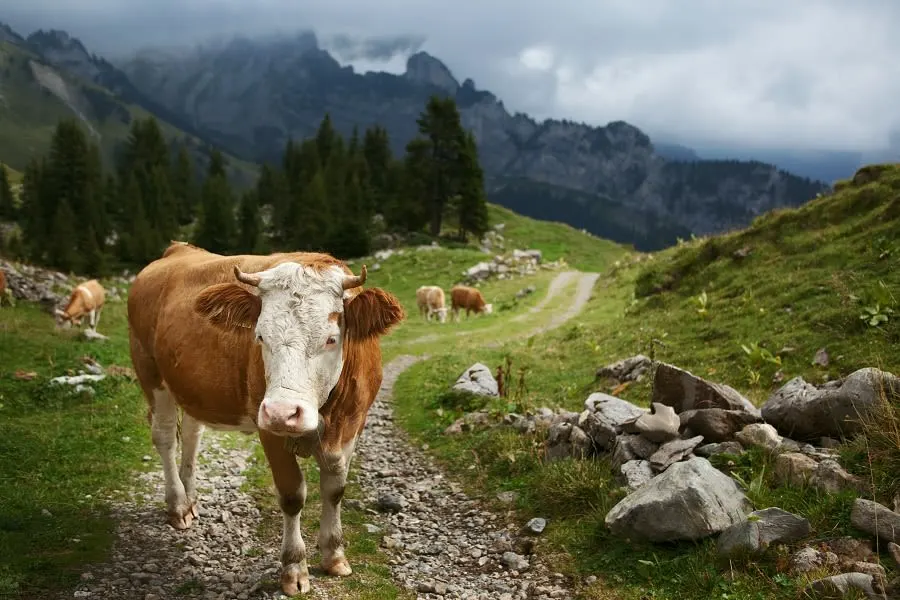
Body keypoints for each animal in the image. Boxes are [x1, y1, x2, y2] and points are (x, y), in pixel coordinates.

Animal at [127, 242, 404, 596]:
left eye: (331, 338)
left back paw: (191, 501)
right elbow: (292, 495)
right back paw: (177, 507)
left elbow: (335, 489)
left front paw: (334, 554)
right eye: (259, 336)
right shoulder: (269, 429)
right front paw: (294, 568)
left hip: (189, 387)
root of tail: (177, 250)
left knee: (191, 435)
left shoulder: (353, 424)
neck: (328, 415)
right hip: (149, 371)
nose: (283, 412)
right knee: (163, 437)